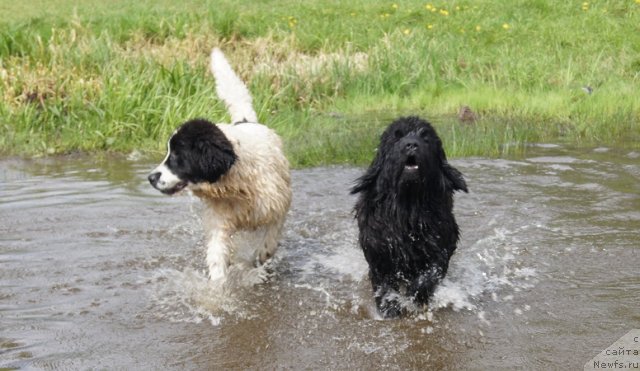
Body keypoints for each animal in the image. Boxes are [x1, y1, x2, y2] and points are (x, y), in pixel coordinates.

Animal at [149, 48, 292, 284]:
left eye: (177, 155)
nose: (151, 178)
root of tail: (246, 121)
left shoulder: (278, 202)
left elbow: (272, 234)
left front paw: (264, 253)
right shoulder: (220, 222)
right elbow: (218, 257)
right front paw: (218, 288)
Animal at [352, 115, 468, 316]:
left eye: (425, 137)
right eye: (397, 137)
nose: (412, 144)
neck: (407, 207)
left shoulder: (441, 244)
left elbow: (431, 273)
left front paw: (416, 296)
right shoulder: (379, 249)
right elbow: (383, 283)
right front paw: (390, 308)